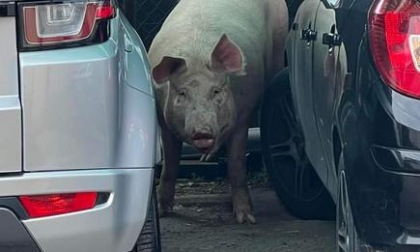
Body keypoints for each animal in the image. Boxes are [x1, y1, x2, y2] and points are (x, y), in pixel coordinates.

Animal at [148, 0, 288, 223]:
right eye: (182, 93)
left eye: (216, 91)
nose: (202, 131)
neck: (196, 55)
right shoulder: (164, 119)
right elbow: (170, 163)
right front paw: (163, 212)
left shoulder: (242, 116)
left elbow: (236, 165)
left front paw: (246, 219)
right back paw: (205, 159)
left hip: (279, 45)